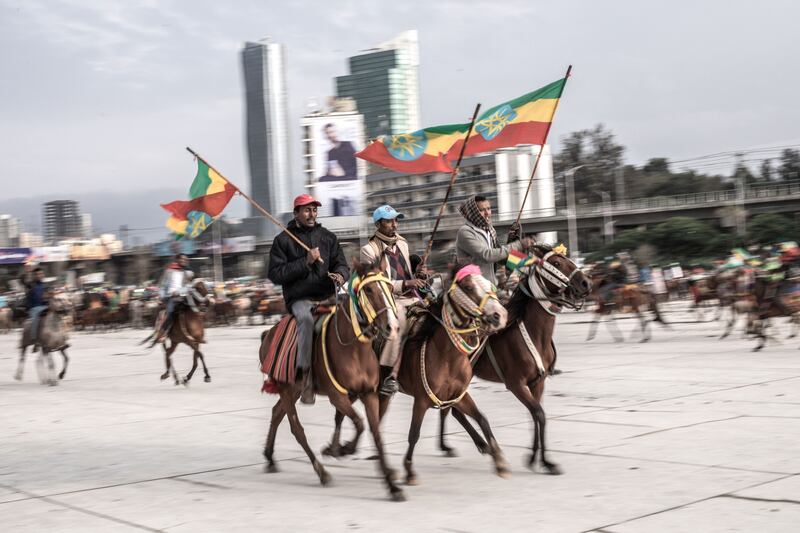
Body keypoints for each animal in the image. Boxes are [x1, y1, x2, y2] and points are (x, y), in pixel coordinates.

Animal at [258, 262, 406, 502]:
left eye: (390, 289)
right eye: (369, 290)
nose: (392, 327)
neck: (354, 348)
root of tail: (268, 334)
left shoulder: (369, 394)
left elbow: (375, 433)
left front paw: (392, 486)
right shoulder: (337, 396)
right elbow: (359, 423)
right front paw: (343, 449)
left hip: (294, 390)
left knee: (276, 413)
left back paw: (270, 458)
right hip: (287, 389)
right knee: (296, 428)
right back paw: (321, 472)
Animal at [434, 245, 592, 474]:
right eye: (557, 263)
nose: (586, 282)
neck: (534, 333)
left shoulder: (537, 383)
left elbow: (536, 415)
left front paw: (536, 458)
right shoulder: (516, 384)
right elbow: (539, 414)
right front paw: (544, 461)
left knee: (452, 410)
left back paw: (474, 444)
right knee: (448, 408)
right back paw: (452, 445)